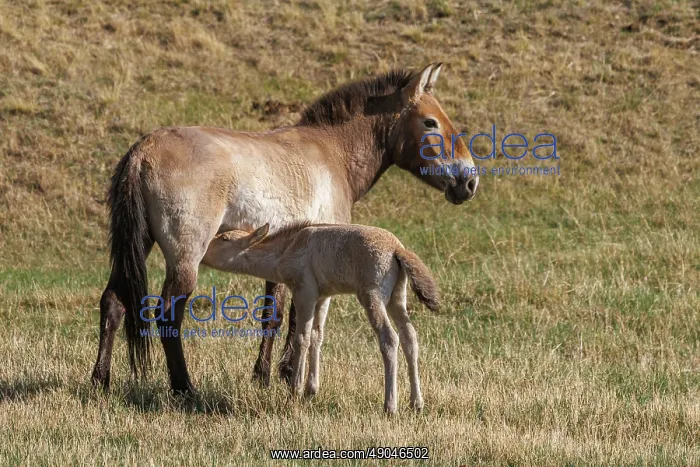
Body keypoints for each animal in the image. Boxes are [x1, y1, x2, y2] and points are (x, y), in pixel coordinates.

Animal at [90, 63, 479, 394]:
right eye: (430, 123)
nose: (469, 181)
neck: (331, 153)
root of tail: (143, 150)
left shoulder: (278, 257)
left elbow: (272, 316)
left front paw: (263, 376)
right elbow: (297, 320)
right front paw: (291, 373)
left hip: (139, 246)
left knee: (113, 301)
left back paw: (100, 380)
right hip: (186, 257)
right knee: (168, 313)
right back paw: (184, 387)